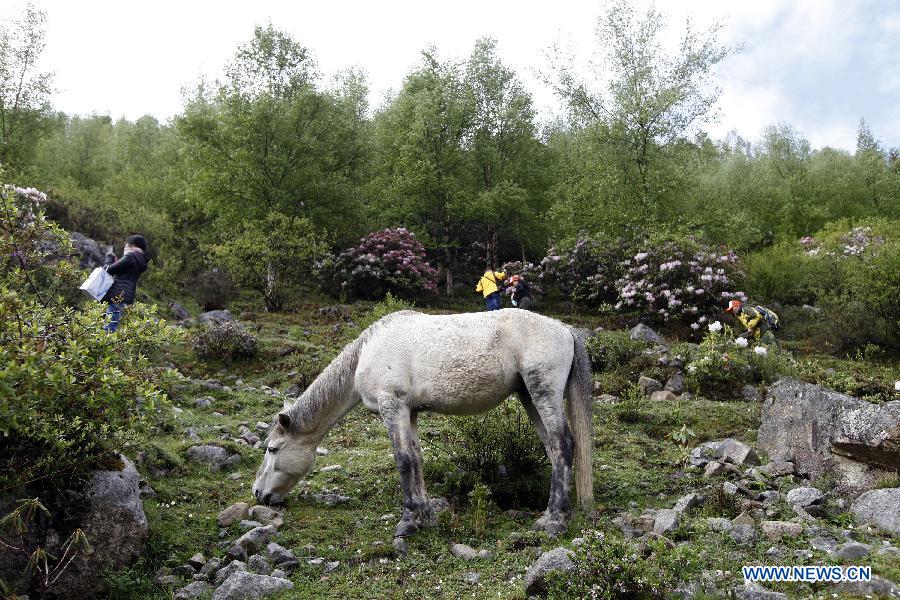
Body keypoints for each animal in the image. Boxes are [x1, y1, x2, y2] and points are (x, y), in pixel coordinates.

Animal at [253, 310, 596, 536]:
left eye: (272, 449)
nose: (258, 494)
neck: (367, 352)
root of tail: (564, 329)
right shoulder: (410, 411)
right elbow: (416, 459)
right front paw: (426, 516)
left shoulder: (392, 405)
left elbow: (403, 460)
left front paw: (407, 522)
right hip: (528, 396)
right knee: (554, 447)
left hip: (542, 391)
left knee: (563, 444)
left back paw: (554, 520)